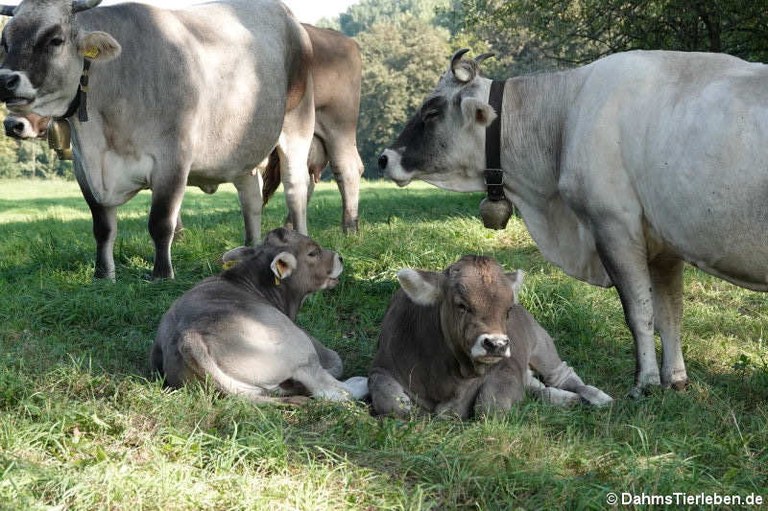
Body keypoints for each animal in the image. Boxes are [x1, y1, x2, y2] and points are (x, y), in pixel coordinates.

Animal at [0, 0, 316, 280]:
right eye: (5, 41)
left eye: (55, 39)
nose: (6, 80)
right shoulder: (82, 168)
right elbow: (102, 227)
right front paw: (103, 275)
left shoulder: (172, 159)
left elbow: (161, 222)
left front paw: (162, 274)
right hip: (243, 151)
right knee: (251, 198)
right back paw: (249, 250)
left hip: (297, 125)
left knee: (295, 190)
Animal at [152, 230, 368, 406]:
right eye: (312, 252)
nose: (340, 257)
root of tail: (189, 337)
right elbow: (336, 360)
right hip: (300, 349)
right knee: (331, 391)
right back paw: (361, 383)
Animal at [368, 256, 616, 420]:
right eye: (461, 305)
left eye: (508, 309)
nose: (496, 344)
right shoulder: (381, 367)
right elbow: (393, 403)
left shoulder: (506, 368)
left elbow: (490, 406)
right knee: (536, 386)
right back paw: (567, 399)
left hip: (542, 346)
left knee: (563, 375)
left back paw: (597, 397)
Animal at [380, 49, 768, 400]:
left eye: (431, 110)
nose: (385, 157)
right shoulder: (664, 245)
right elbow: (670, 314)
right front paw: (675, 380)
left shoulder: (613, 225)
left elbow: (640, 312)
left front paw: (645, 383)